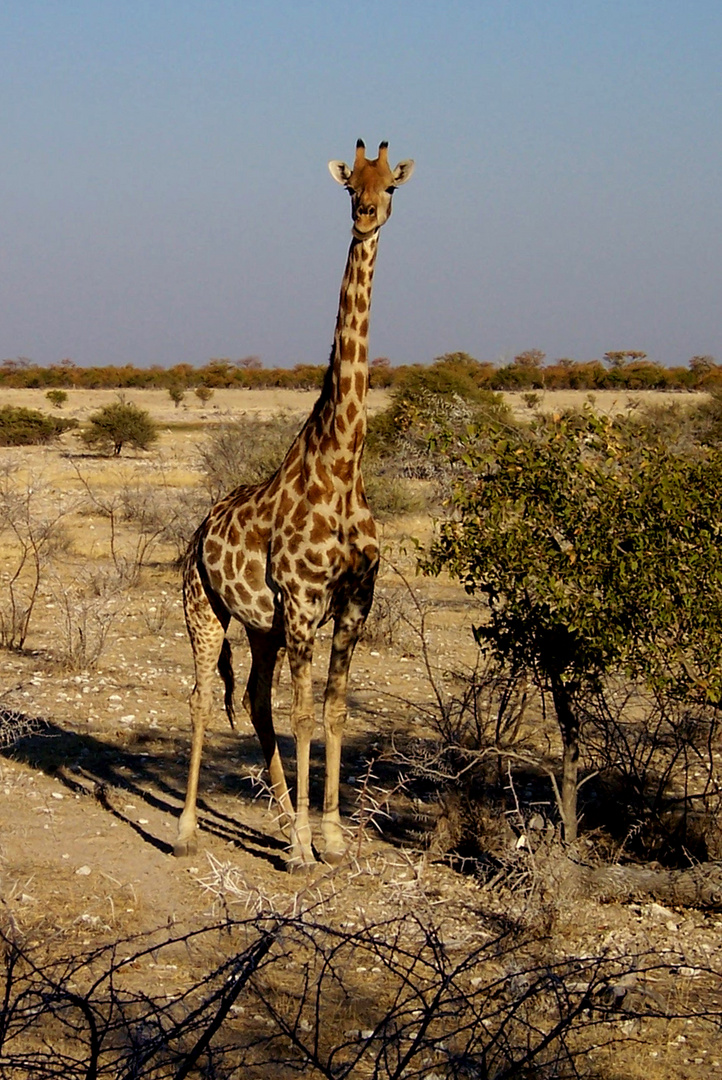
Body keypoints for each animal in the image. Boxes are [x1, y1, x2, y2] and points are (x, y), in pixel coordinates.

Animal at [172, 141, 410, 868]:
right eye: (349, 186)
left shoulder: (354, 603)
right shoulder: (304, 605)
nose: (366, 216)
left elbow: (332, 711)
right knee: (201, 696)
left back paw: (281, 820)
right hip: (205, 608)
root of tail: (197, 532)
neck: (341, 465)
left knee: (253, 699)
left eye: (391, 185)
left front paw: (327, 837)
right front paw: (309, 840)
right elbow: (305, 715)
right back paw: (186, 829)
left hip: (261, 626)